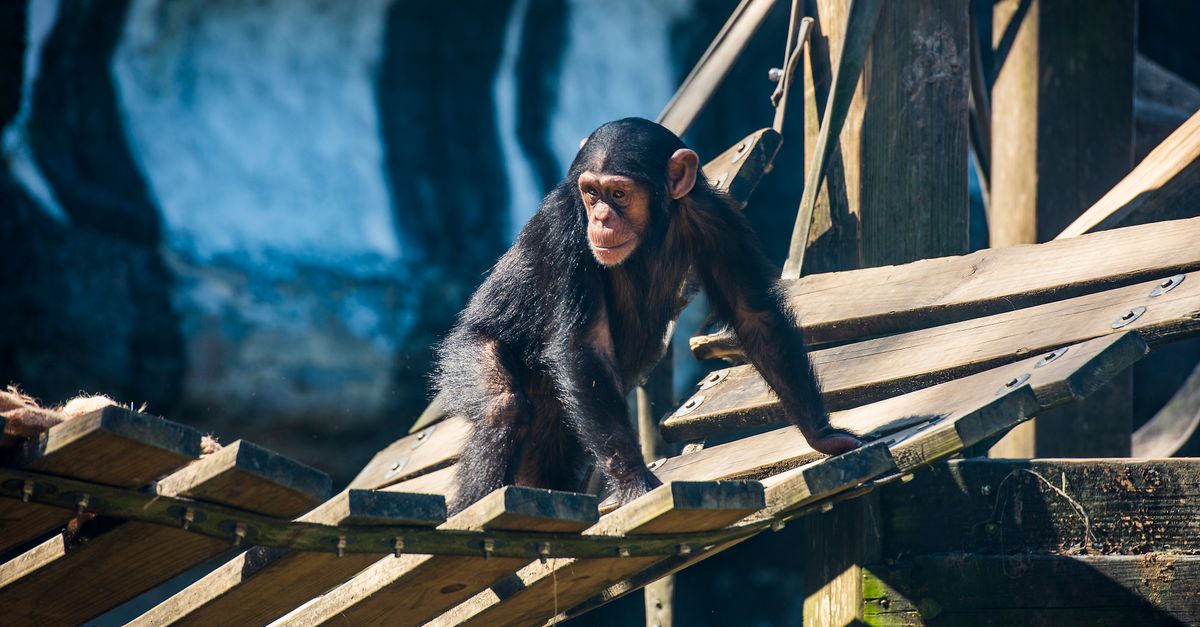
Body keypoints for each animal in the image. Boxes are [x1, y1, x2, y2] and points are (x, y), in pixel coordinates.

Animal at [436, 118, 862, 514]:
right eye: (591, 193)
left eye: (618, 193)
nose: (601, 217)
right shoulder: (563, 224)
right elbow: (583, 343)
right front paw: (635, 484)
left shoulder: (716, 217)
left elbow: (753, 313)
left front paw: (822, 434)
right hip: (465, 348)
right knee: (502, 407)